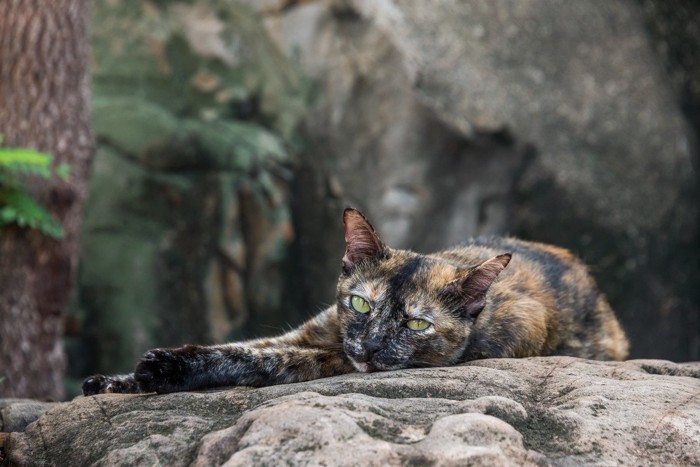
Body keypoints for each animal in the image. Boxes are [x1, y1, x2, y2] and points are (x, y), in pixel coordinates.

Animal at [82, 208, 628, 394]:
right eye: (360, 305)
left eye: (417, 325)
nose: (369, 349)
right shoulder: (313, 332)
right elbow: (247, 343)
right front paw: (118, 380)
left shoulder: (326, 358)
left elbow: (258, 358)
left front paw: (165, 369)